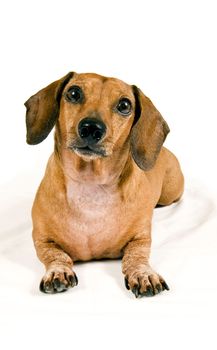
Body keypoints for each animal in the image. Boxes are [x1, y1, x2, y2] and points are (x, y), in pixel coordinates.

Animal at [24, 72, 184, 296]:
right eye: (73, 93)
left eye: (124, 105)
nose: (91, 128)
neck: (91, 184)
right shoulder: (41, 239)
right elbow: (56, 255)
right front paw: (58, 271)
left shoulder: (141, 238)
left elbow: (136, 256)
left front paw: (143, 274)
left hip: (172, 193)